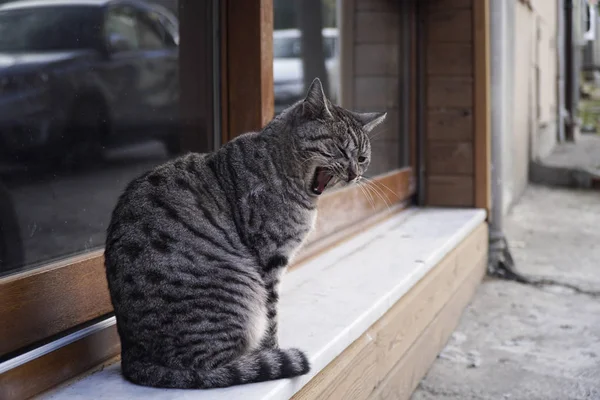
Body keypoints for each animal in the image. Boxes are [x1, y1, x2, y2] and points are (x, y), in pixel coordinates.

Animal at [104, 77, 384, 388]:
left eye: (362, 158)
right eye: (339, 149)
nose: (354, 174)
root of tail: (133, 358)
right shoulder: (270, 260)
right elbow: (271, 317)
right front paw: (272, 350)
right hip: (239, 290)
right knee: (213, 367)